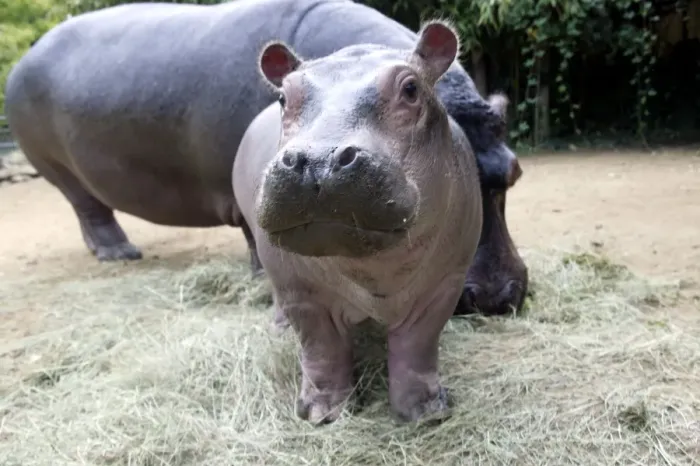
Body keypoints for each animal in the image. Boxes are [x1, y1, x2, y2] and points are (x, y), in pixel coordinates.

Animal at [3, 0, 527, 315]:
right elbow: (259, 237)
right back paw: (120, 253)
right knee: (90, 209)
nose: (496, 297)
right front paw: (263, 275)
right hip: (59, 170)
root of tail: (25, 56)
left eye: (514, 171)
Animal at [233, 21, 481, 423]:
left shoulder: (444, 285)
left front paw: (425, 412)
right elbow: (321, 350)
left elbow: (418, 347)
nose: (318, 160)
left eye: (411, 89)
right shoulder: (303, 294)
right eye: (284, 98)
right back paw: (280, 329)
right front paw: (321, 415)